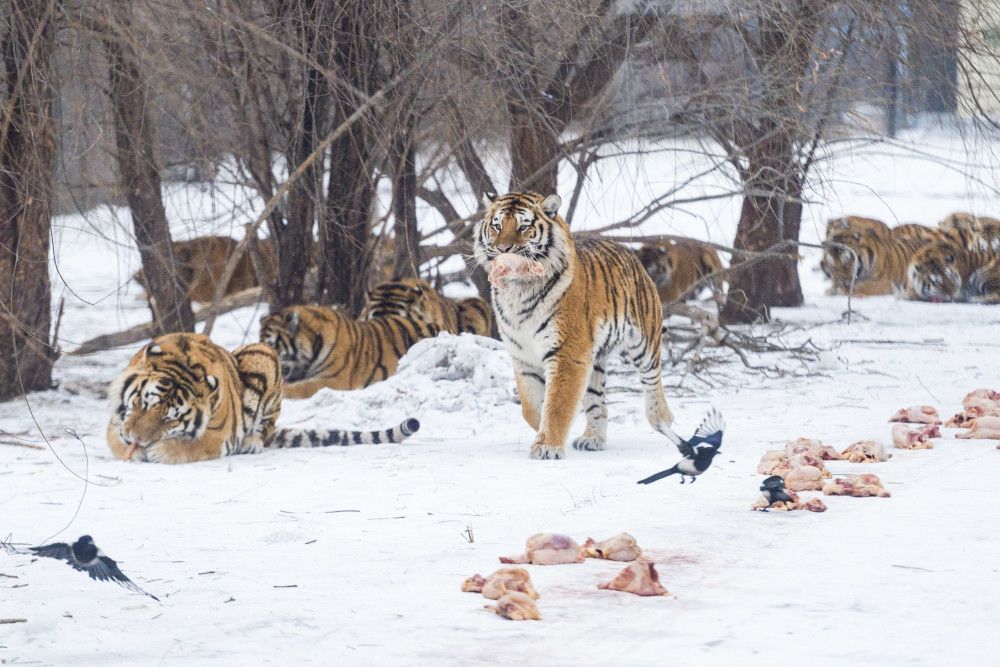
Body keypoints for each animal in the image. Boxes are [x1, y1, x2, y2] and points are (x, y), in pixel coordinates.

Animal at [107, 332, 420, 464]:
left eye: (169, 419)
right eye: (144, 403)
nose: (137, 440)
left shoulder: (217, 435)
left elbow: (191, 445)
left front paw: (160, 451)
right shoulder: (116, 422)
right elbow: (115, 438)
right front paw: (131, 450)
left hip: (263, 355)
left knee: (264, 427)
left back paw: (251, 443)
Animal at [472, 188, 692, 460]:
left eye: (524, 226)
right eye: (497, 226)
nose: (503, 248)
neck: (518, 290)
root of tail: (631, 253)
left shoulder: (567, 353)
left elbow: (557, 404)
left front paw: (547, 446)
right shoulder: (523, 357)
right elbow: (532, 408)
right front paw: (545, 432)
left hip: (643, 342)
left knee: (653, 379)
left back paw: (661, 418)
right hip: (592, 360)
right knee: (598, 402)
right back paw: (593, 439)